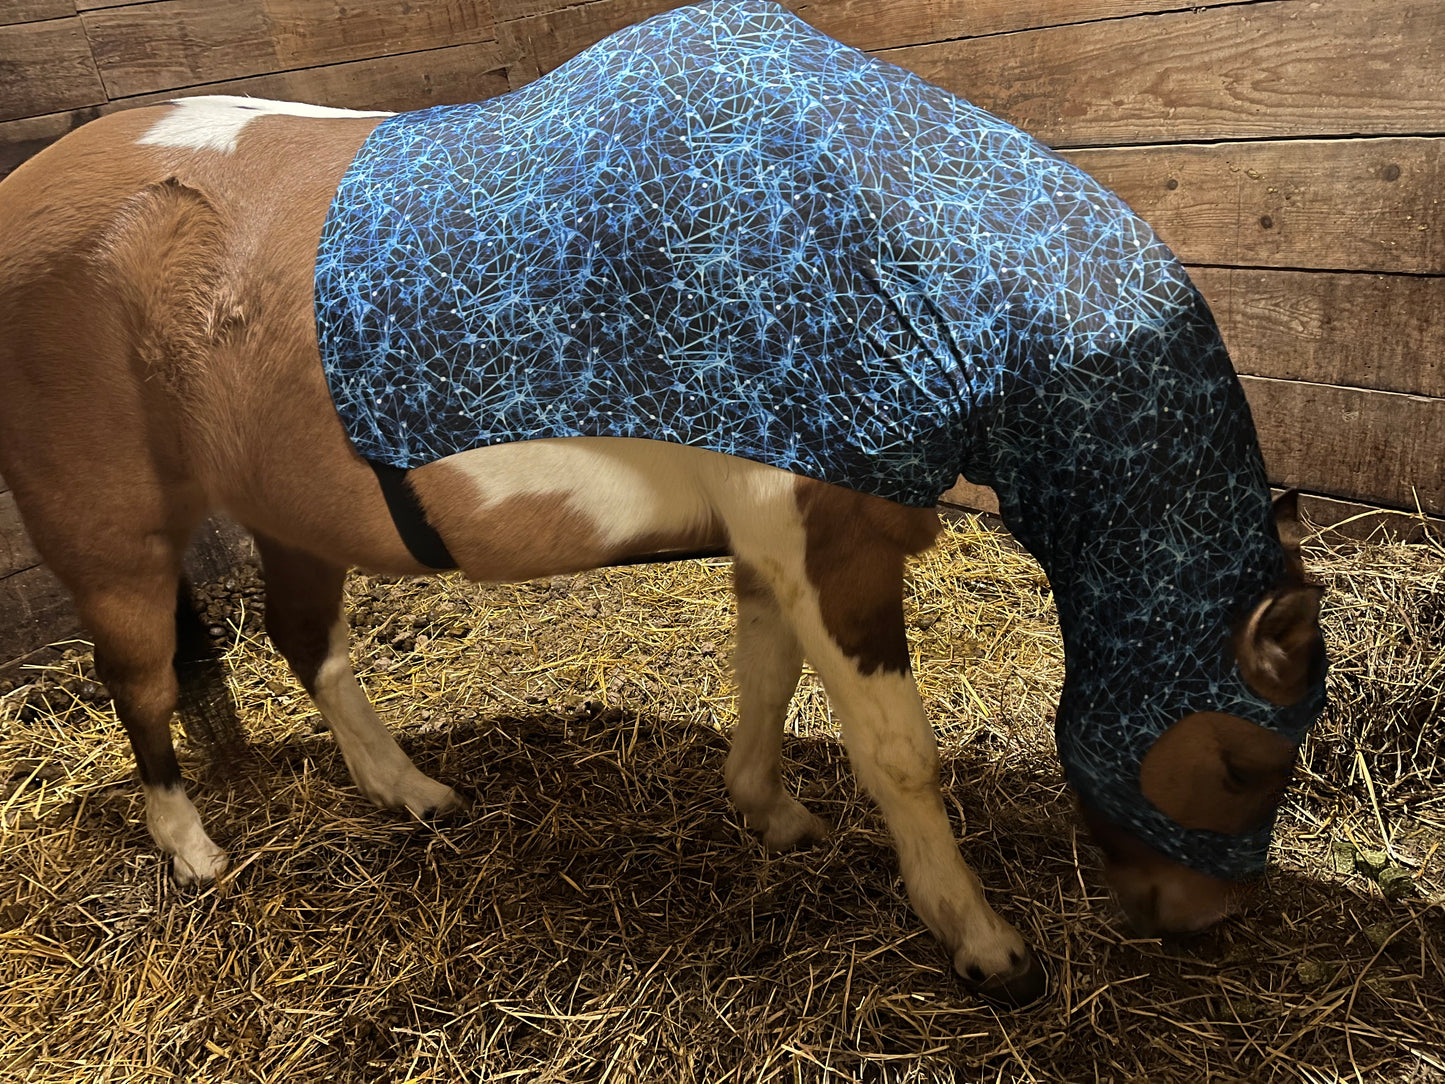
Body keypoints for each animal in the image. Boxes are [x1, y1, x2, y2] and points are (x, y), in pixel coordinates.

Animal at [0, 0, 1325, 1006]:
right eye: (1244, 762)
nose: (1200, 921)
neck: (879, 253)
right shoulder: (830, 546)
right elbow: (896, 754)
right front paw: (982, 943)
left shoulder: (776, 544)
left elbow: (765, 674)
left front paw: (767, 810)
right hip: (117, 541)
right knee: (143, 689)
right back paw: (192, 848)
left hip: (286, 514)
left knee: (307, 642)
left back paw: (408, 792)